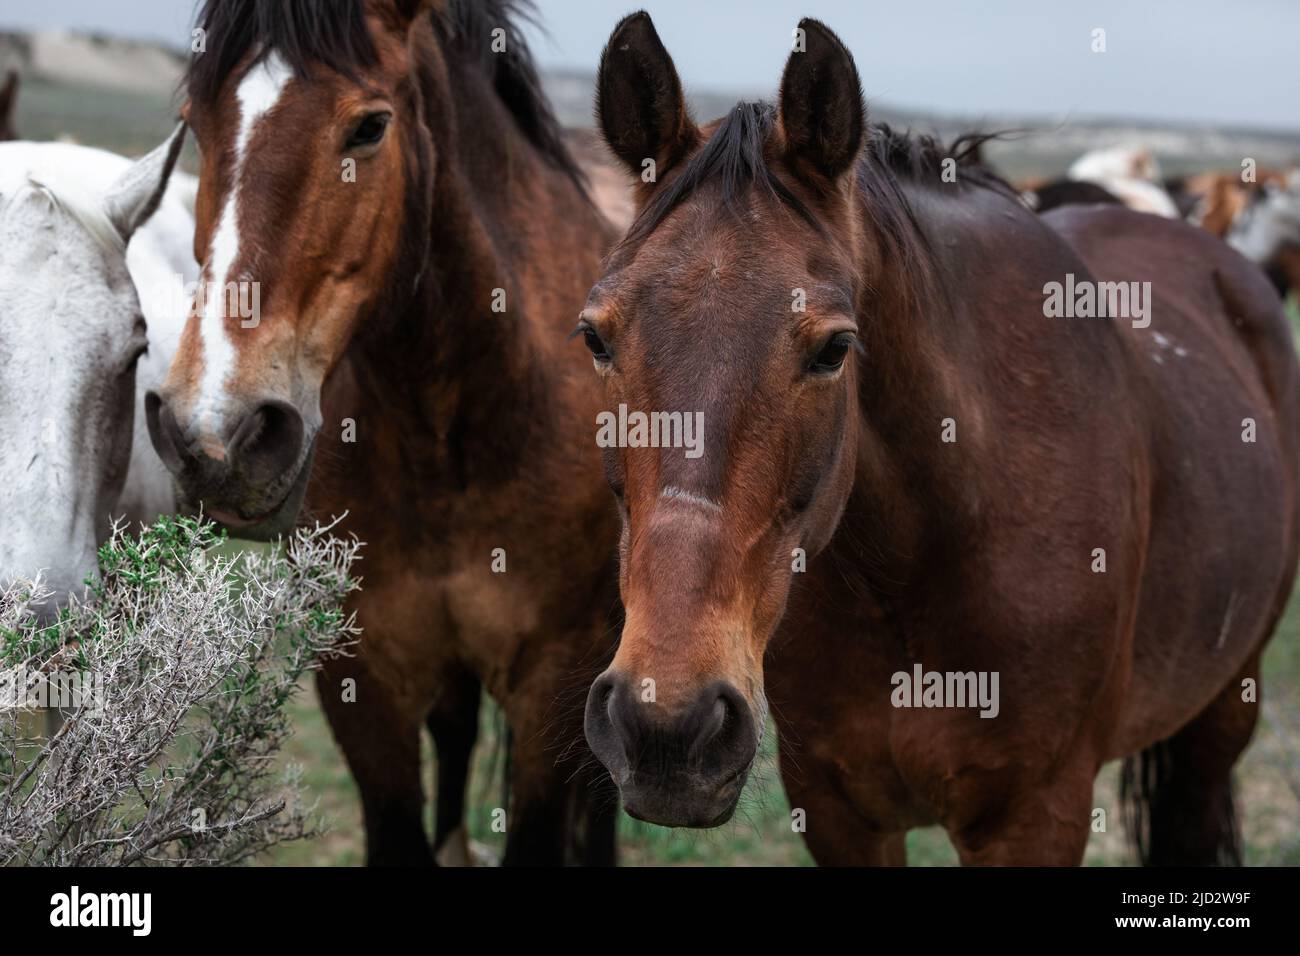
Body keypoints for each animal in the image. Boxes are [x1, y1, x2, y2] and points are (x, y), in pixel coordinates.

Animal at [579, 13, 1300, 865]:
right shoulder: (836, 808)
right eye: (595, 336)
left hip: (1223, 710)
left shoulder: (1037, 815)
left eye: (834, 348)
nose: (665, 730)